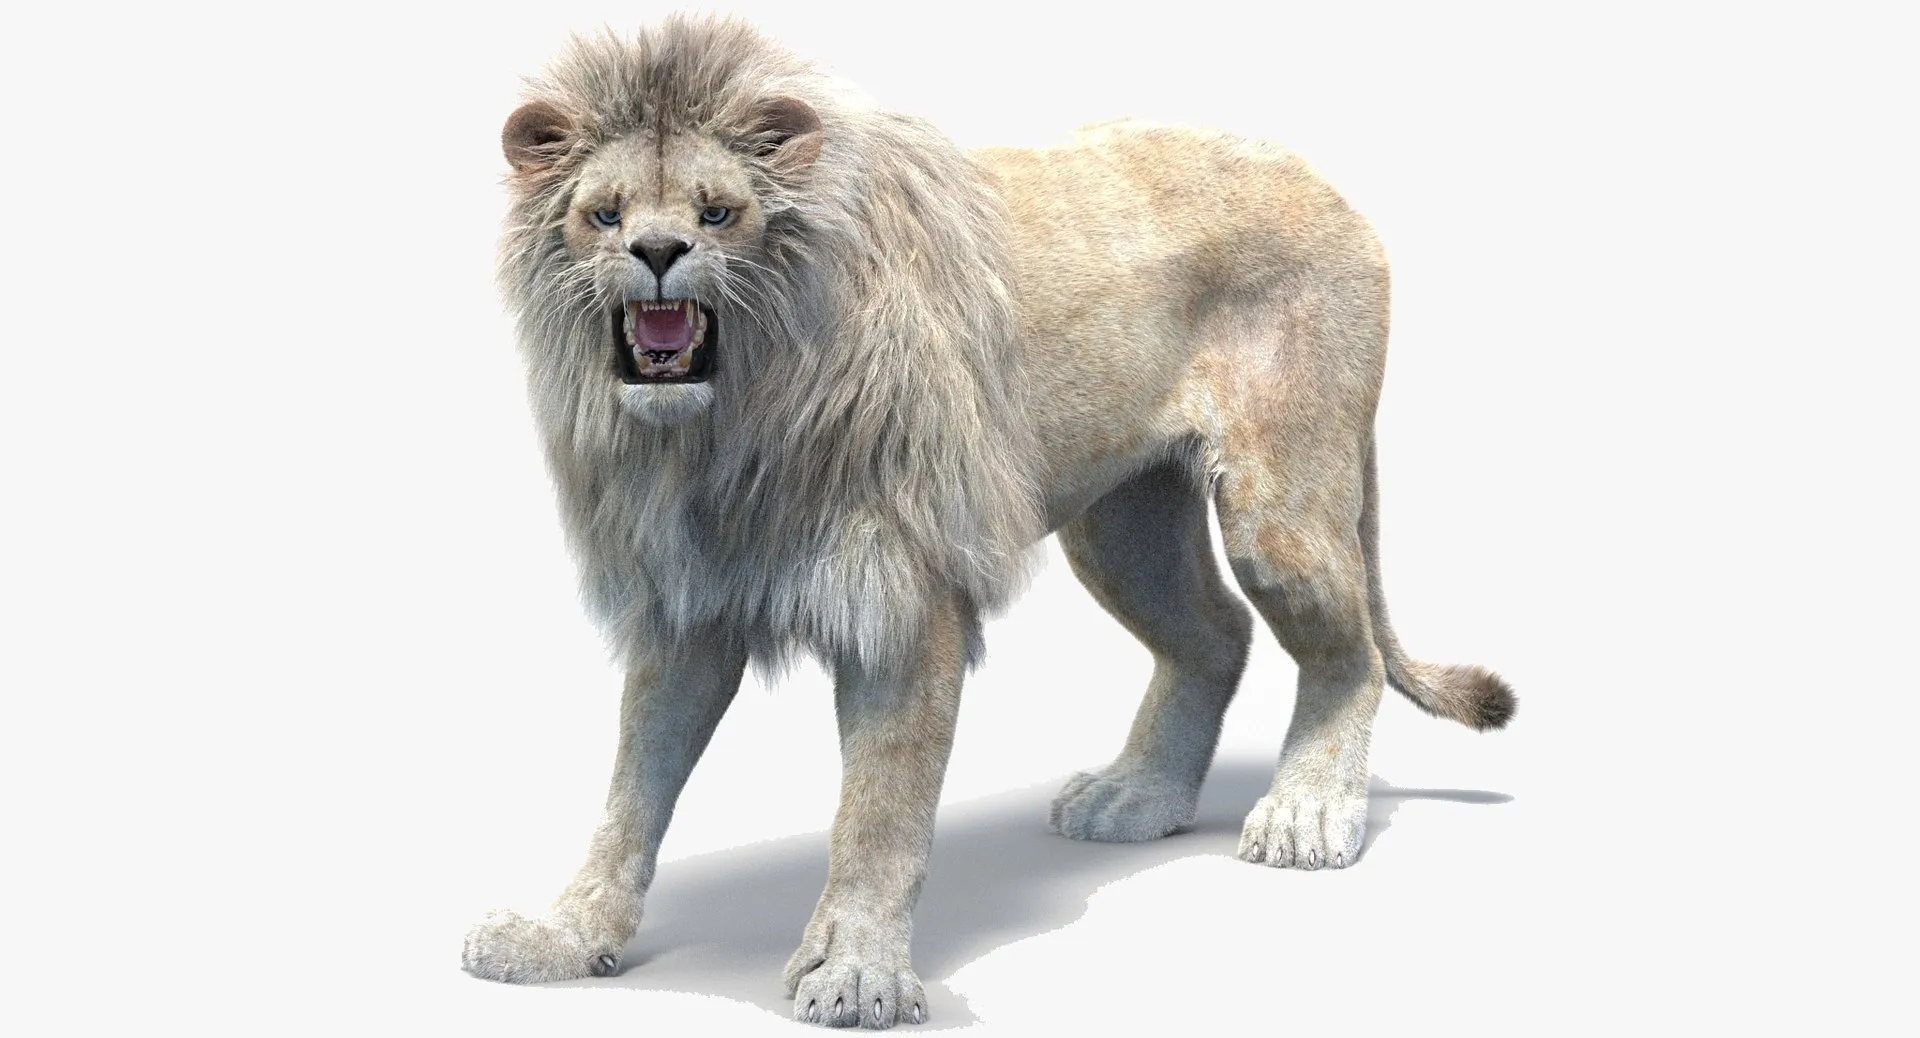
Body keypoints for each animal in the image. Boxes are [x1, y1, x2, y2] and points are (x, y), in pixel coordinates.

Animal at [462, 14, 1515, 1028]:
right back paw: (1136, 797)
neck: (729, 424)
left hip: (1280, 507)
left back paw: (1307, 814)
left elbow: (880, 810)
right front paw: (563, 935)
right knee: (1216, 633)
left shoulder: (905, 595)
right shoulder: (689, 601)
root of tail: (1321, 179)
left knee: (1348, 654)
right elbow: (632, 790)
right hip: (1122, 522)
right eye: (605, 214)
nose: (656, 255)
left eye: (717, 212)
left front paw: (858, 973)